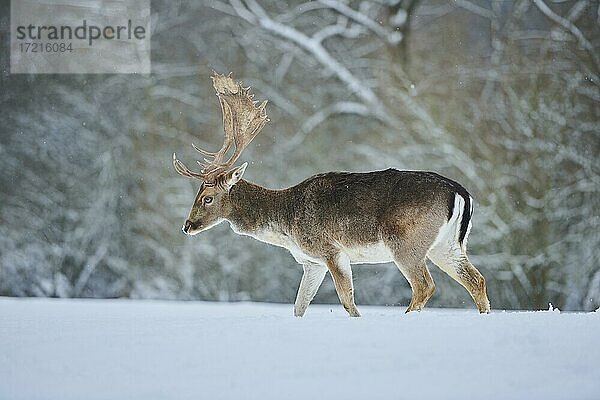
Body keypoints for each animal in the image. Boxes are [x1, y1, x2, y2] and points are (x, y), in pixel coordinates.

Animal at [171, 71, 490, 316]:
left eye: (207, 197)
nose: (187, 226)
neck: (286, 224)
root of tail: (462, 193)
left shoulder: (330, 249)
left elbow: (347, 300)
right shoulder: (311, 262)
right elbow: (299, 306)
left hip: (406, 242)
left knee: (425, 286)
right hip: (447, 246)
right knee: (477, 281)